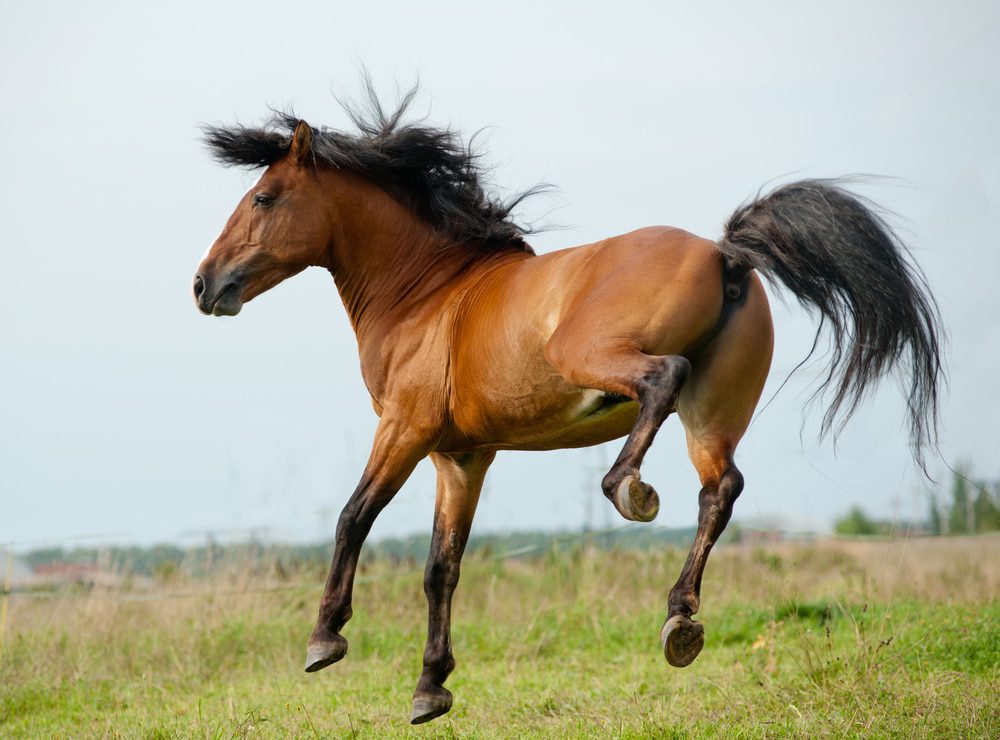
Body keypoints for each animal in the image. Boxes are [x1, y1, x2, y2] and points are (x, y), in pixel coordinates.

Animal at [191, 88, 940, 724]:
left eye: (264, 198)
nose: (204, 284)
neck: (426, 295)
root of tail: (725, 253)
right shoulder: (462, 458)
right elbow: (441, 568)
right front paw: (431, 687)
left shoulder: (405, 429)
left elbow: (353, 518)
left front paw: (325, 639)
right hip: (713, 415)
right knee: (719, 489)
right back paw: (680, 620)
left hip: (594, 357)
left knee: (662, 382)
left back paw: (627, 488)